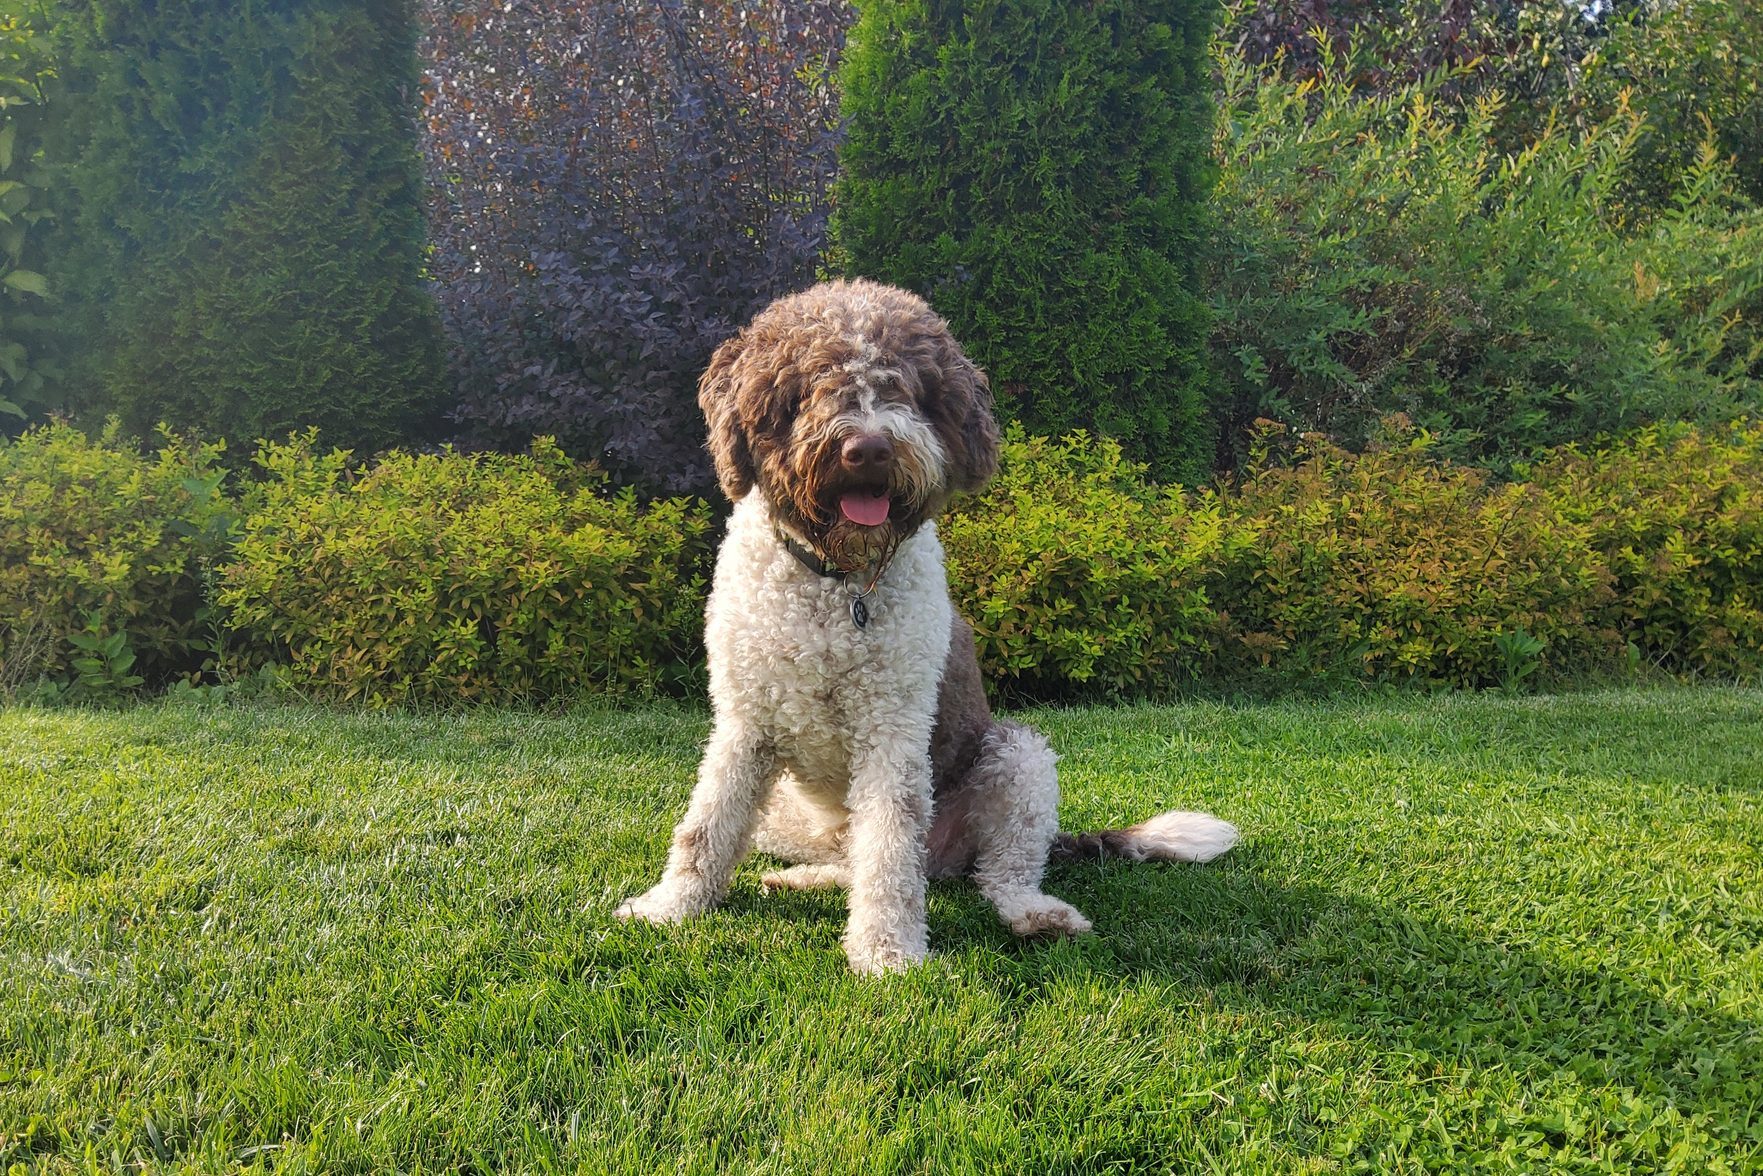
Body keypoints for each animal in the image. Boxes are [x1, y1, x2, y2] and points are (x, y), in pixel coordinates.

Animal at [620, 278, 1241, 973]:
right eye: (808, 386)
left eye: (909, 391)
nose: (867, 448)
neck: (841, 584)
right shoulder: (744, 723)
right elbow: (706, 824)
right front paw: (671, 906)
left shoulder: (893, 728)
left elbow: (891, 846)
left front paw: (886, 950)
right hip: (785, 811)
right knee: (846, 857)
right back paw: (801, 878)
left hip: (1019, 761)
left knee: (996, 871)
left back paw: (1036, 915)